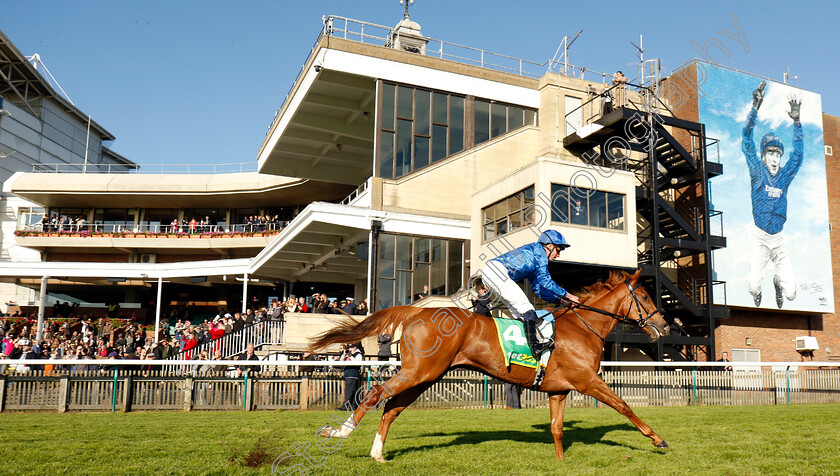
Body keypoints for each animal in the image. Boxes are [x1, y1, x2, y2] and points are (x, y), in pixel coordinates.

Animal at [308, 272, 668, 462]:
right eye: (645, 298)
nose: (664, 326)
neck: (582, 328)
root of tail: (416, 310)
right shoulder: (587, 381)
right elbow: (623, 405)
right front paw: (657, 439)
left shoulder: (559, 390)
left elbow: (556, 428)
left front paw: (561, 461)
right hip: (420, 372)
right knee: (374, 394)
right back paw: (339, 432)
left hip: (426, 376)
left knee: (391, 408)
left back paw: (378, 453)